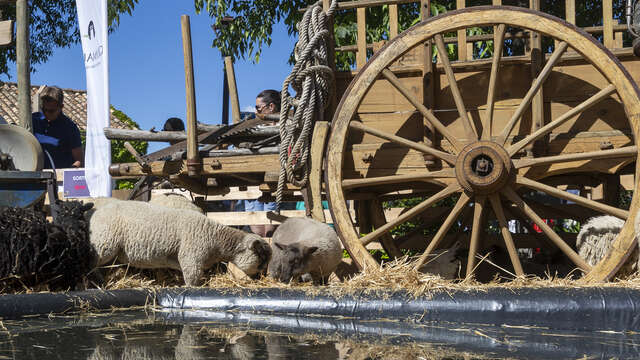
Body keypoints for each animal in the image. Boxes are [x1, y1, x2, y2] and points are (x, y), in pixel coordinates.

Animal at [88, 198, 272, 286]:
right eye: (261, 258)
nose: (262, 278)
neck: (215, 238)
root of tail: (94, 214)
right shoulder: (191, 258)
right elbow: (192, 281)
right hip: (104, 243)